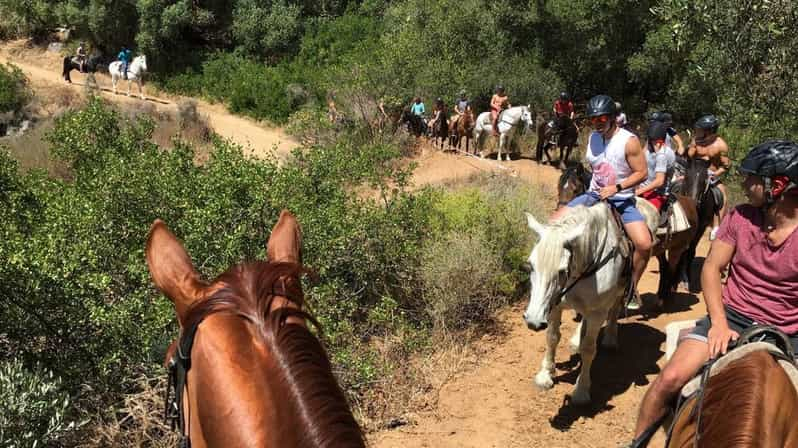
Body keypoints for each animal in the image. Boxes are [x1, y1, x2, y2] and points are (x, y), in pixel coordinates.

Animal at [524, 203, 656, 402]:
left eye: (561, 271)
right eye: (531, 265)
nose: (533, 321)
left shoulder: (597, 312)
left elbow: (588, 349)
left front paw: (581, 391)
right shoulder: (555, 305)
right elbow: (552, 337)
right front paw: (545, 375)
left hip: (619, 291)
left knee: (614, 310)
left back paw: (610, 339)